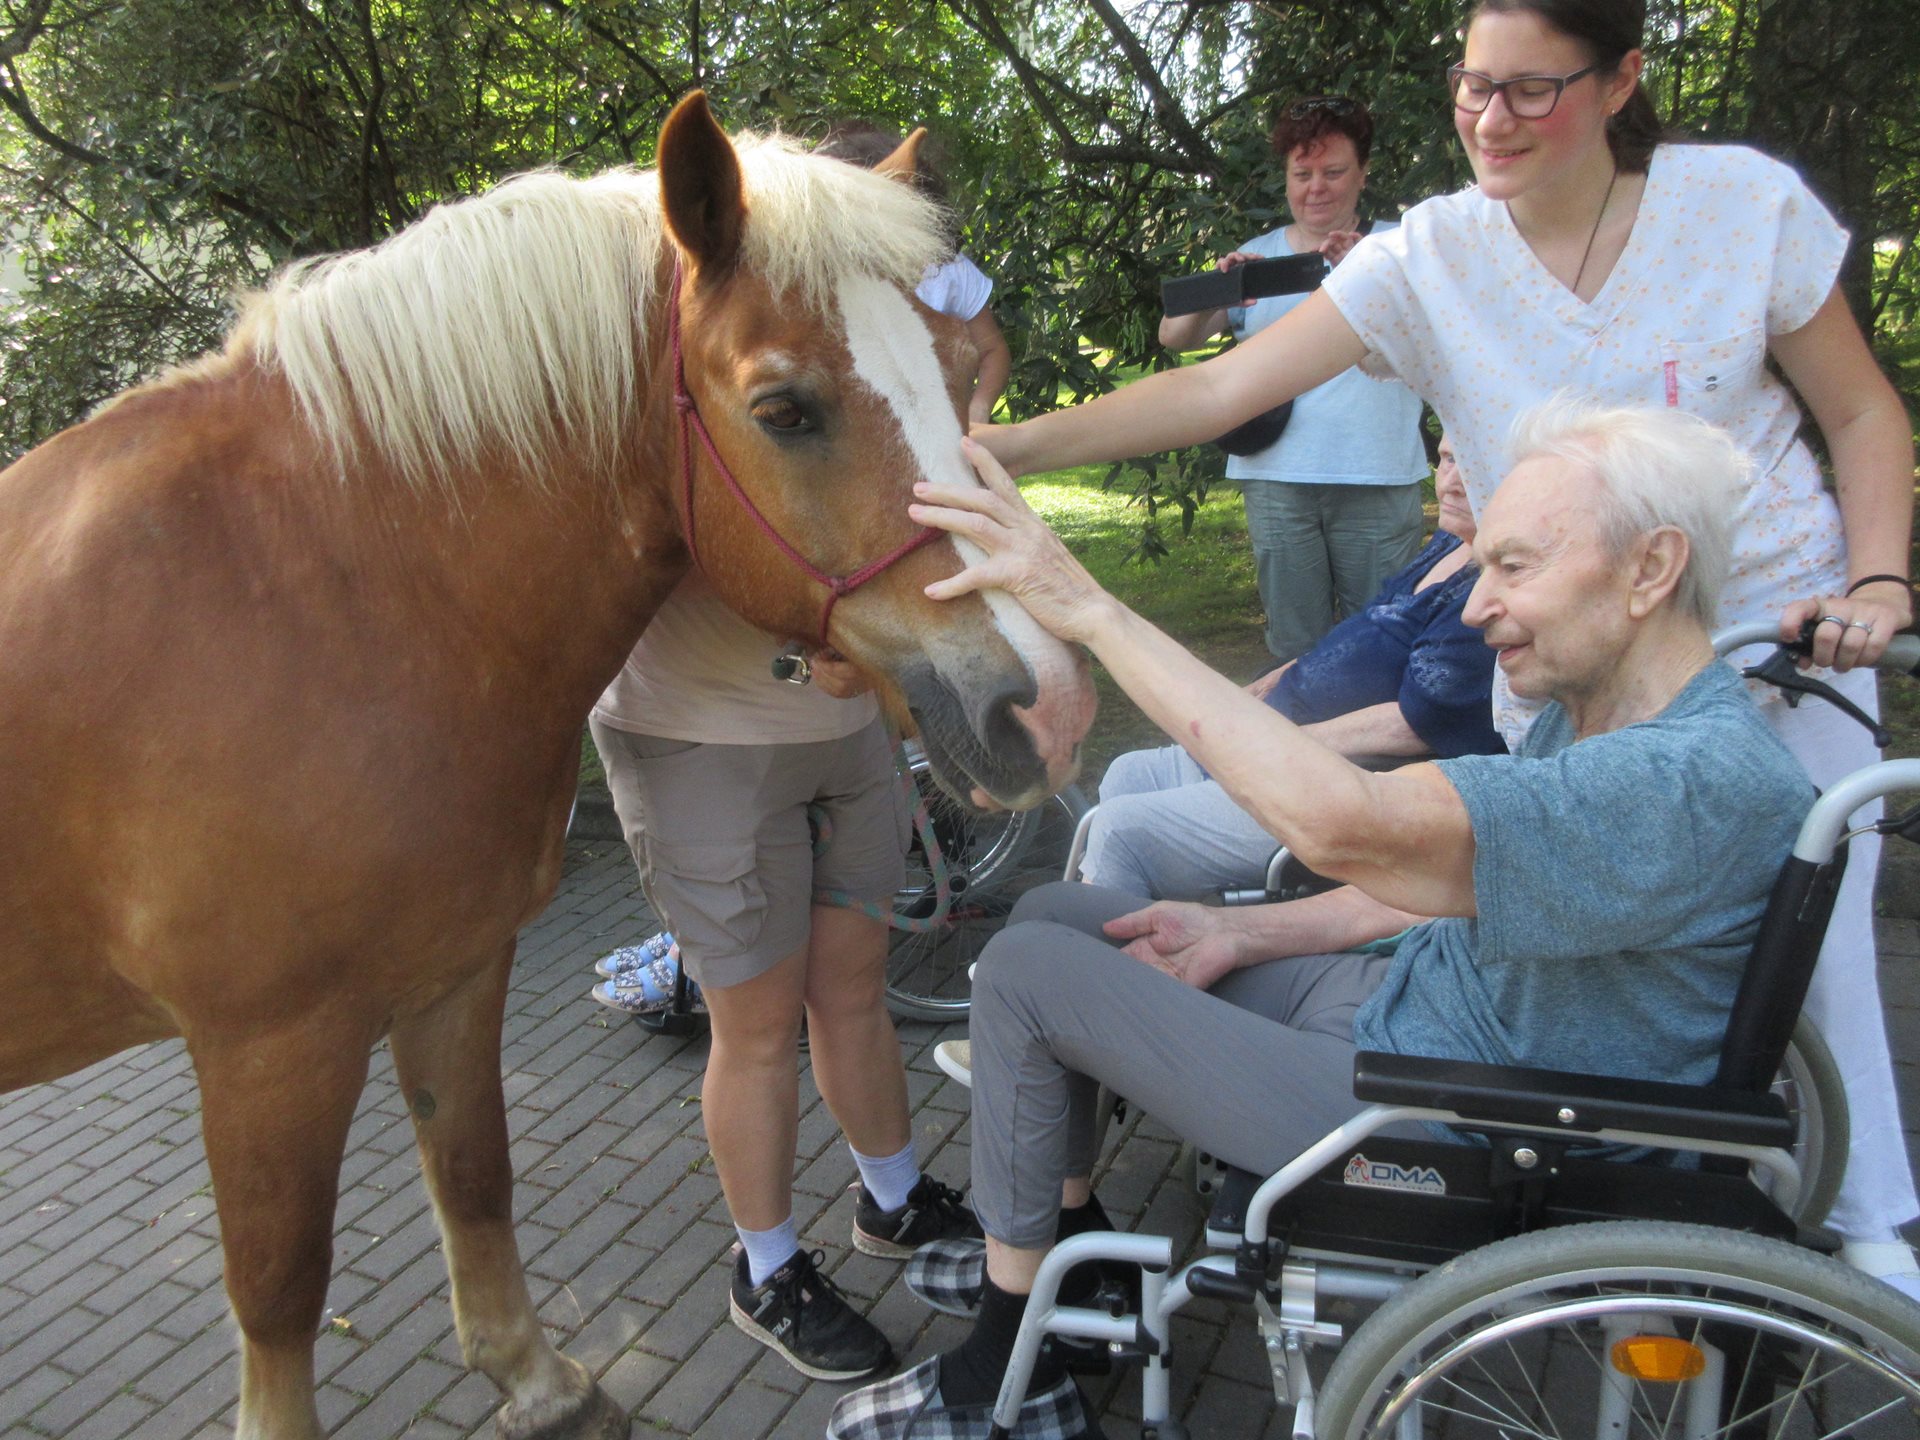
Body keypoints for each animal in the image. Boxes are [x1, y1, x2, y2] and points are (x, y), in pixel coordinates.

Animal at [0, 92, 1094, 1440]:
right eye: (785, 409)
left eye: (956, 370)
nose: (1047, 706)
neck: (319, 590)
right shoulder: (266, 1049)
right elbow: (281, 1291)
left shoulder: (457, 972)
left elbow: (475, 1174)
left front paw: (534, 1378)